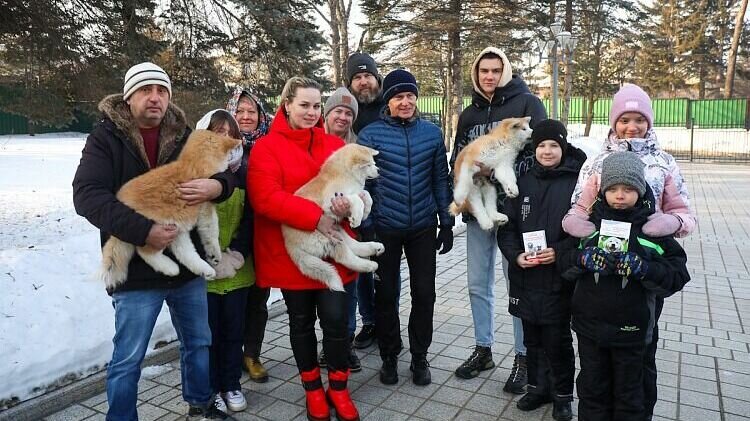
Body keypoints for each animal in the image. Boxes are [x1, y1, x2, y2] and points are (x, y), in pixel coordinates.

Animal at [284, 143, 388, 290]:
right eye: (368, 165)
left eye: (373, 163)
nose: (379, 171)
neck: (346, 173)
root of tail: (290, 245)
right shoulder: (334, 199)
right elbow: (357, 199)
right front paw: (357, 218)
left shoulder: (356, 191)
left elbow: (366, 196)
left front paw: (365, 212)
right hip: (326, 237)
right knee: (344, 257)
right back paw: (370, 265)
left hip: (336, 230)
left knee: (354, 245)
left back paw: (374, 247)